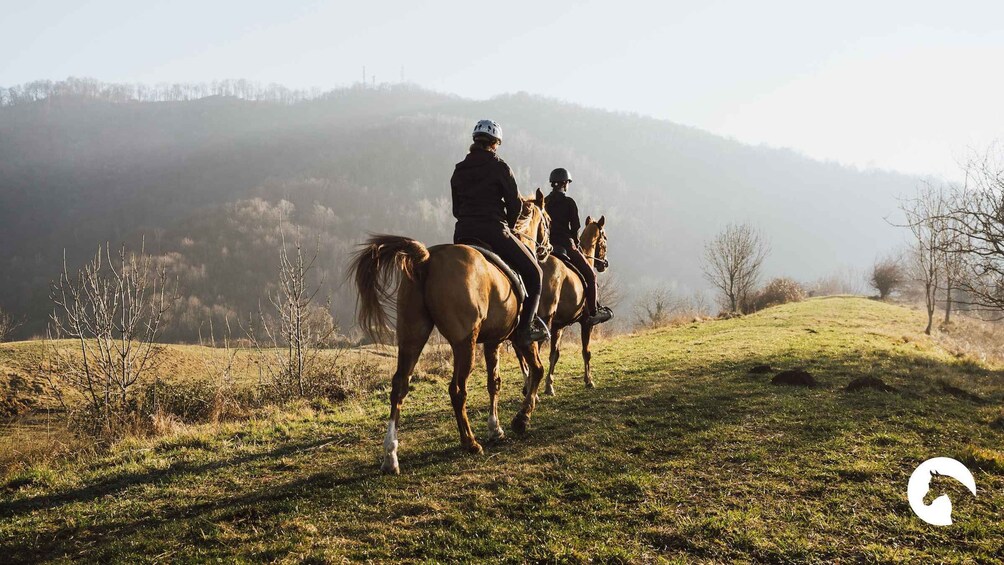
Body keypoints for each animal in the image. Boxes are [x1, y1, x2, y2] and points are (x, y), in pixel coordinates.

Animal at [349, 189, 554, 473]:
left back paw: (390, 456)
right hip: (463, 343)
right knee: (457, 390)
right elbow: (536, 370)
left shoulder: (493, 341)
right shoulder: (521, 339)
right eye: (548, 220)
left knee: (399, 385)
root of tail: (426, 259)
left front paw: (496, 429)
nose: (548, 249)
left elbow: (494, 382)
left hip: (412, 336)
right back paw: (470, 442)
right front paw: (521, 419)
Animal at [530, 214, 606, 395]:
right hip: (544, 321)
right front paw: (589, 380)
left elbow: (554, 354)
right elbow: (586, 352)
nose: (603, 264)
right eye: (605, 238)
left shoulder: (558, 326)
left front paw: (549, 385)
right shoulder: (586, 323)